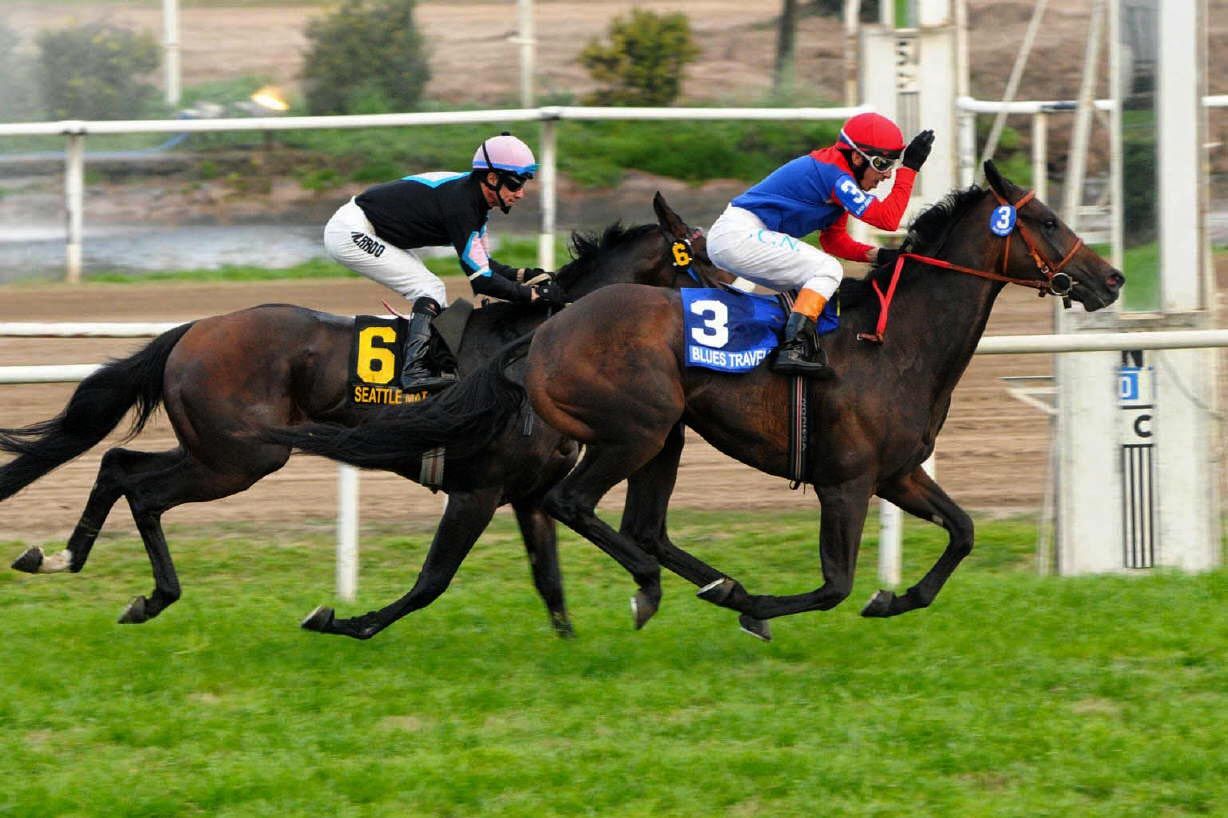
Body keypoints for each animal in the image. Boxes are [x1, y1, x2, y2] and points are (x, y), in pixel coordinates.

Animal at [0, 194, 722, 633]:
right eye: (708, 263)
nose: (742, 302)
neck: (538, 346)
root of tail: (193, 331)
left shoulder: (528, 491)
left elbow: (550, 584)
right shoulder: (478, 488)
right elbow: (432, 581)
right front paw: (341, 622)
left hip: (211, 447)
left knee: (118, 464)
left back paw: (62, 558)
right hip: (242, 457)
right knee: (145, 492)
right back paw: (151, 596)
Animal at [294, 160, 1124, 638]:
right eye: (1047, 220)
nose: (1111, 279)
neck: (894, 343)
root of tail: (551, 327)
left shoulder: (899, 472)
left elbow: (963, 533)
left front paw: (894, 600)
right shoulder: (848, 480)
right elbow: (834, 584)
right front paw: (754, 607)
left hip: (664, 437)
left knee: (636, 524)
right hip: (635, 431)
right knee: (577, 504)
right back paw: (663, 589)